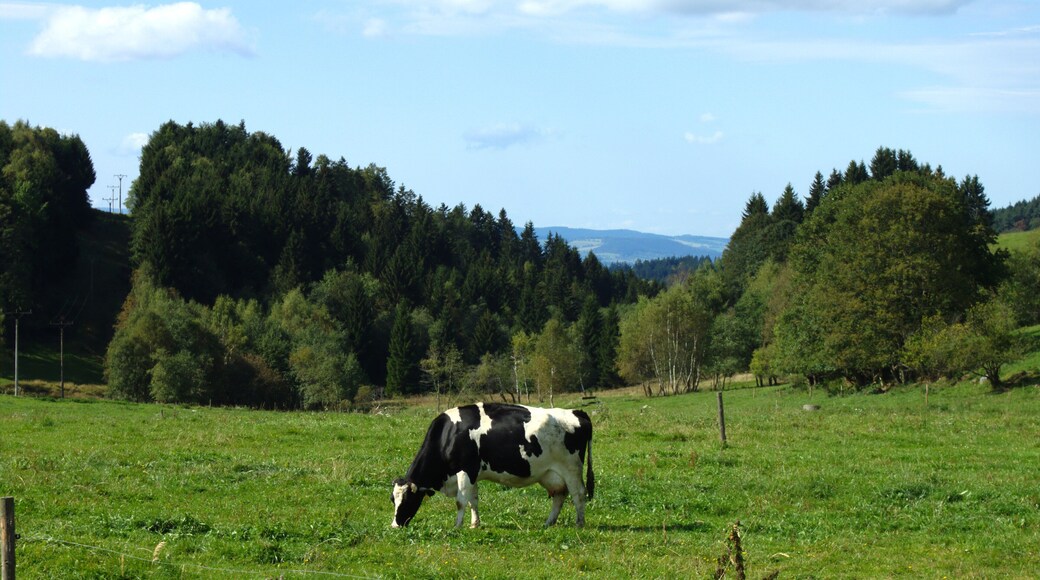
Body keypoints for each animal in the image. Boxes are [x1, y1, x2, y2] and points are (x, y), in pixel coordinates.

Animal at [391, 402, 594, 529]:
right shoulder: (472, 473)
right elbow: (473, 500)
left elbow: (461, 500)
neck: (449, 435)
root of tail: (577, 412)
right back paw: (548, 523)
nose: (394, 525)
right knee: (559, 495)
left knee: (578, 494)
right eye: (393, 500)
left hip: (571, 468)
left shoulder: (465, 470)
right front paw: (474, 524)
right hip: (550, 473)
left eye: (407, 500)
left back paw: (579, 524)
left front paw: (457, 526)